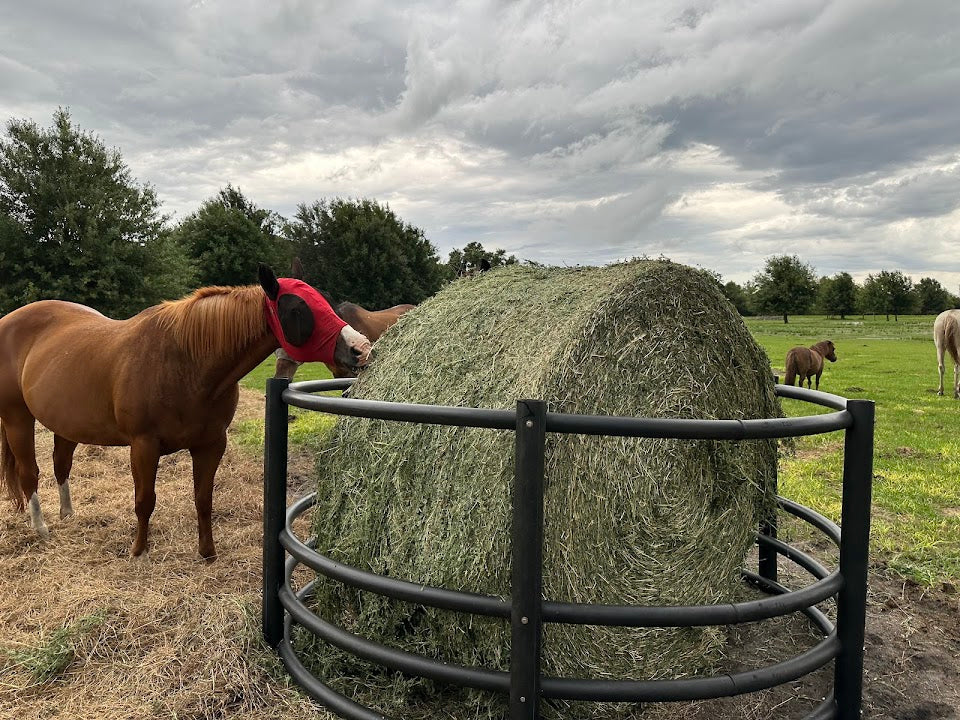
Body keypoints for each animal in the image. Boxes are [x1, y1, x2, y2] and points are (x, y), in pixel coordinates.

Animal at [0, 262, 372, 556]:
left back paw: (67, 515)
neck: (186, 362)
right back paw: (40, 528)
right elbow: (145, 500)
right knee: (29, 473)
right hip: (18, 418)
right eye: (296, 309)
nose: (361, 349)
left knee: (61, 465)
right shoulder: (143, 446)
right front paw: (140, 552)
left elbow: (203, 499)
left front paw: (207, 552)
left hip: (65, 423)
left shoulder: (211, 444)